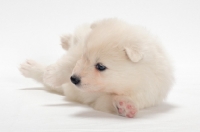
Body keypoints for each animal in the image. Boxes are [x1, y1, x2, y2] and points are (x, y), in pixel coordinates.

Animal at [19, 18, 174, 117]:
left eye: (100, 66)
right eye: (85, 56)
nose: (73, 79)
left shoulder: (141, 93)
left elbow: (109, 101)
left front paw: (126, 106)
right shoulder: (79, 51)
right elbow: (69, 61)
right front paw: (51, 74)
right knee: (76, 37)